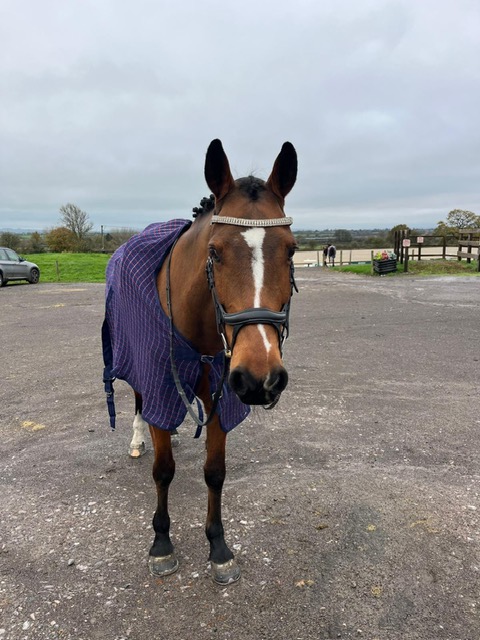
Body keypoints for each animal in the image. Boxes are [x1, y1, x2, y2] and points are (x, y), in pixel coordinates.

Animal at [102, 139, 298, 584]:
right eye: (215, 251)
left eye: (292, 250)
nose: (261, 378)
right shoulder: (159, 378)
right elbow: (163, 470)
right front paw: (161, 543)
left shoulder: (221, 396)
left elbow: (215, 472)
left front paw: (218, 546)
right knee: (140, 403)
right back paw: (138, 438)